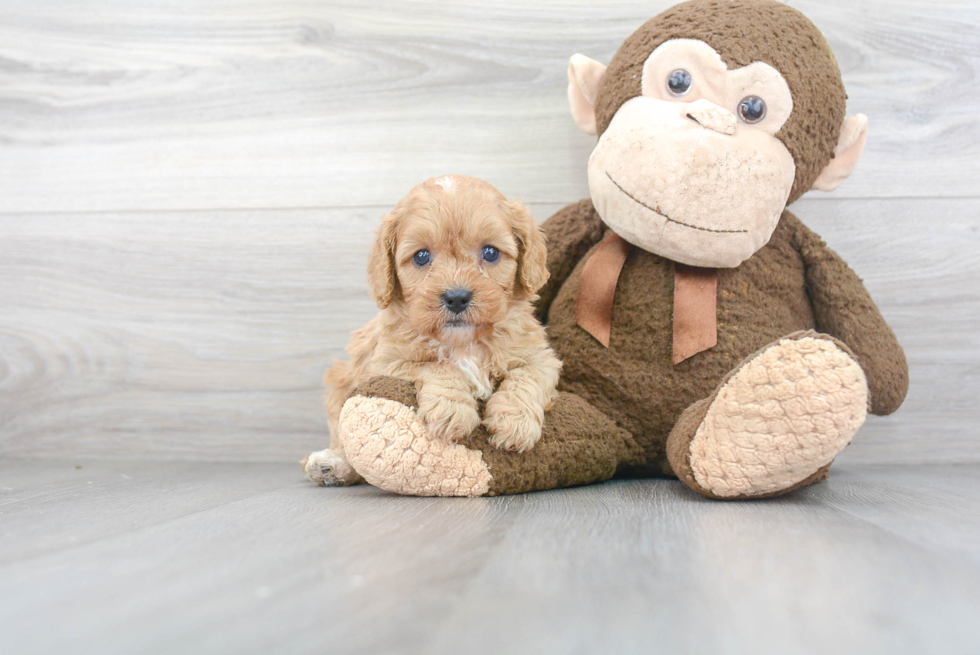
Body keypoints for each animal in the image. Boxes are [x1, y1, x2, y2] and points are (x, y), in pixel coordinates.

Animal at [306, 174, 568, 486]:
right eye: (421, 256)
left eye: (490, 252)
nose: (456, 297)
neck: (464, 343)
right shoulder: (385, 363)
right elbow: (437, 365)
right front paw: (452, 408)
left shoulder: (541, 357)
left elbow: (527, 376)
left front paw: (515, 422)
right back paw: (333, 464)